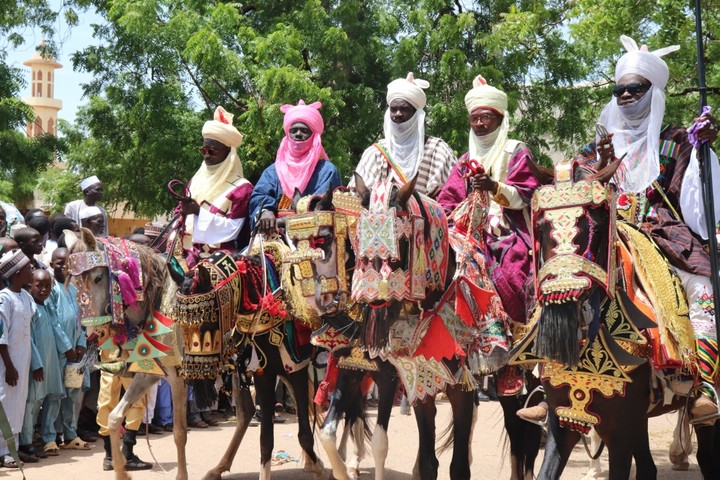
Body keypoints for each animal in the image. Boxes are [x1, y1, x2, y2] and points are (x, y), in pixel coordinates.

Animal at [65, 229, 190, 480]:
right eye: (75, 282)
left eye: (98, 278)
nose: (91, 330)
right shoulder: (148, 373)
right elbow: (113, 418)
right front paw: (121, 470)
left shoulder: (177, 376)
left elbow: (179, 432)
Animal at [177, 238, 326, 478]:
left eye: (207, 318)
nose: (192, 374)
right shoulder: (265, 373)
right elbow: (266, 440)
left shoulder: (297, 369)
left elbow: (305, 433)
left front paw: (323, 470)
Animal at [516, 160, 720, 480]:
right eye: (540, 226)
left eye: (599, 226)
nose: (565, 311)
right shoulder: (565, 418)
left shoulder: (620, 428)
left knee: (707, 451)